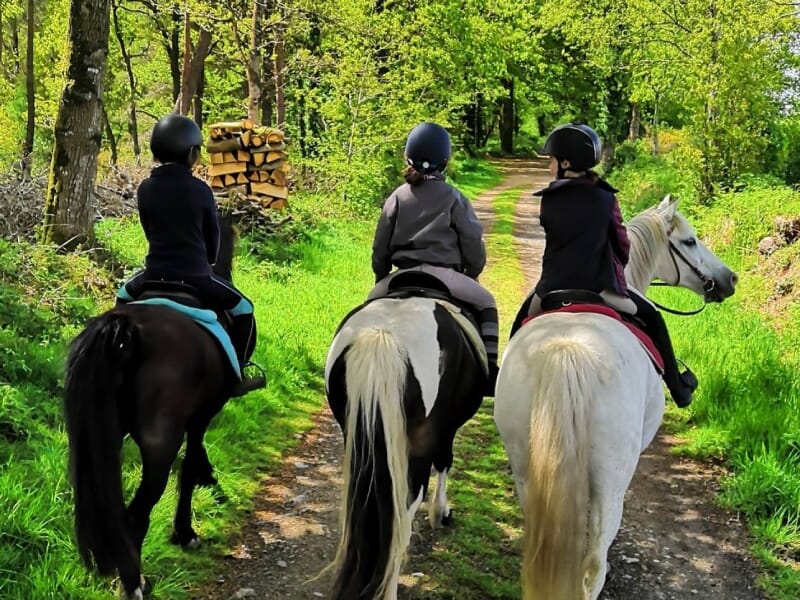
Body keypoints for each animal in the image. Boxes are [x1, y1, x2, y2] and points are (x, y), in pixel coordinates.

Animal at [64, 213, 245, 596]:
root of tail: (125, 329)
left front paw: (208, 477)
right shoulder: (200, 417)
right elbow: (188, 469)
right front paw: (185, 533)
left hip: (100, 437)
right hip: (159, 444)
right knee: (137, 512)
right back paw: (135, 583)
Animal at [322, 280, 484, 596]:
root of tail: (383, 333)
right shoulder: (446, 430)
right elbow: (445, 462)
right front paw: (441, 513)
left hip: (356, 435)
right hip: (417, 446)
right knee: (404, 509)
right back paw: (388, 590)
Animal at [494, 197, 736, 600]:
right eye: (689, 241)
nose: (729, 280)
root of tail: (568, 349)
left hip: (526, 469)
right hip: (610, 482)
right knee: (594, 565)